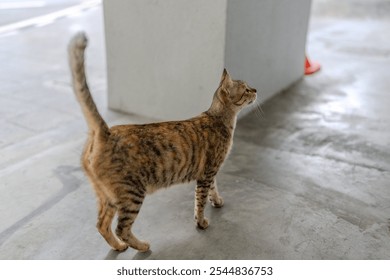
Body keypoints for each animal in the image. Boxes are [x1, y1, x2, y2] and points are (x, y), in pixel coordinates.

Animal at [68, 31, 256, 253]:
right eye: (245, 90)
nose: (256, 90)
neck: (219, 119)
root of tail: (105, 132)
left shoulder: (211, 170)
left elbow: (213, 188)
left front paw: (217, 201)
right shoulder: (207, 171)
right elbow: (200, 200)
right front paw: (201, 222)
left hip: (108, 196)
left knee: (101, 224)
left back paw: (119, 246)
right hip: (132, 193)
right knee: (121, 228)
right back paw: (141, 246)